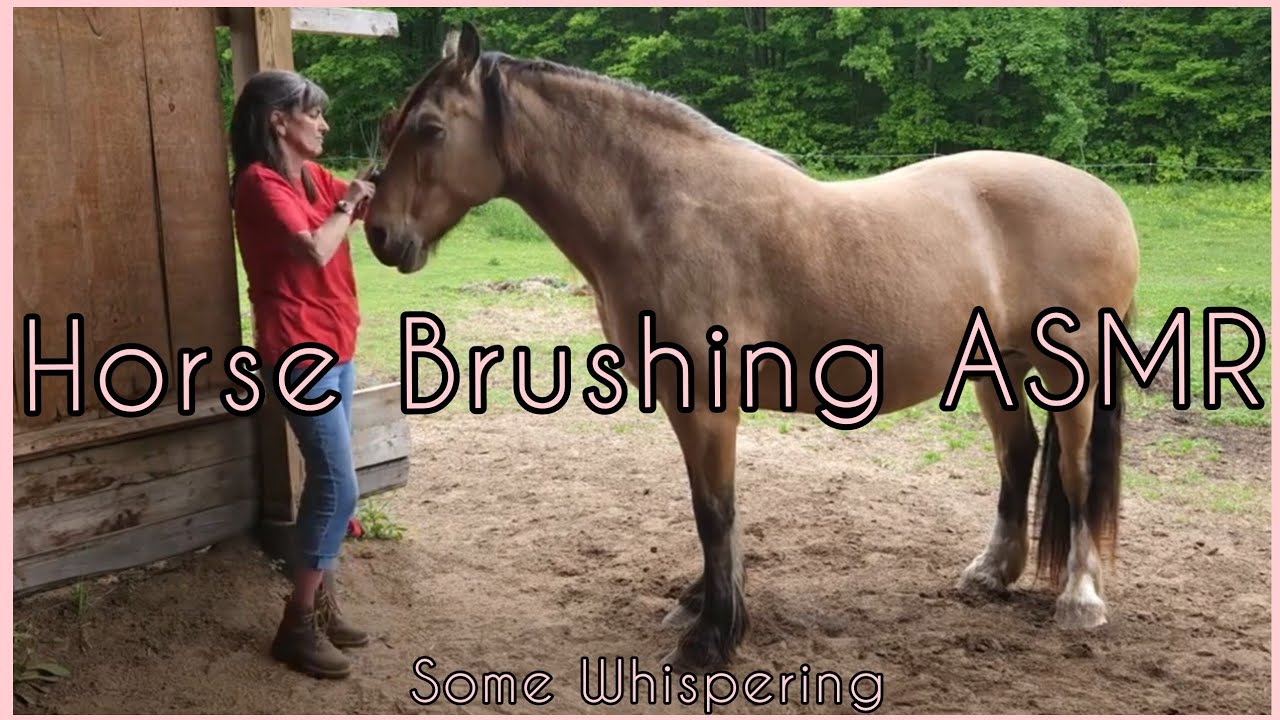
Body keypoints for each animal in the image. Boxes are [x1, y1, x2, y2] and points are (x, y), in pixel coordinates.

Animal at [363, 22, 1141, 670]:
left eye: (430, 127)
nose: (379, 234)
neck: (661, 212)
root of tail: (1104, 197)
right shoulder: (684, 403)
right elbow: (710, 510)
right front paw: (702, 604)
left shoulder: (708, 405)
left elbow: (716, 512)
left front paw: (712, 637)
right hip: (993, 368)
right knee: (1019, 456)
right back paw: (990, 574)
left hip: (1071, 375)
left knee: (1073, 472)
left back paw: (1080, 601)